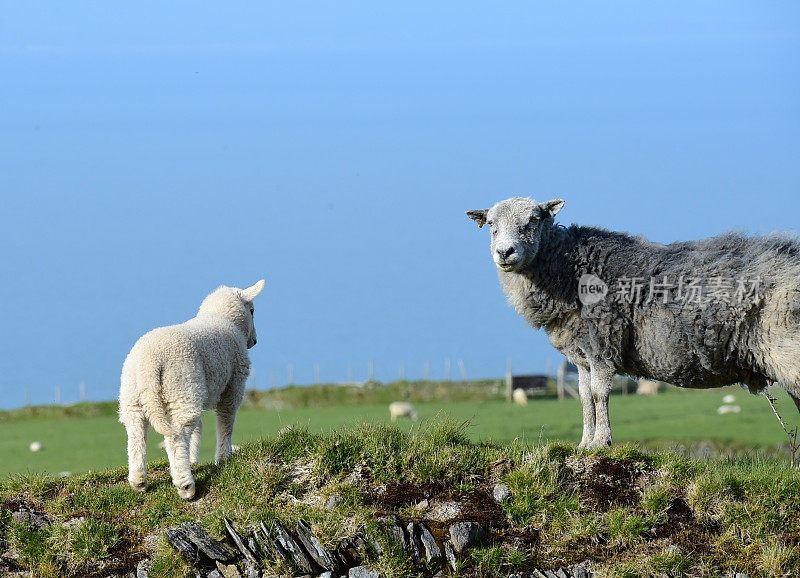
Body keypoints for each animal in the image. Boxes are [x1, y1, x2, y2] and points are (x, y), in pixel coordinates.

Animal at [118, 278, 266, 496]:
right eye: (253, 310)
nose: (255, 341)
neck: (221, 319)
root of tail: (150, 363)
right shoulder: (234, 384)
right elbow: (226, 420)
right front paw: (223, 458)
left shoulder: (201, 392)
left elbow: (198, 428)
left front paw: (194, 459)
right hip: (182, 385)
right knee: (175, 437)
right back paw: (185, 485)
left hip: (134, 395)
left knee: (136, 435)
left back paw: (139, 482)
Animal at [468, 197, 800, 446]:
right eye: (491, 225)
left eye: (534, 219)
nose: (505, 252)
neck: (568, 269)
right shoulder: (582, 355)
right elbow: (585, 398)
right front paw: (584, 444)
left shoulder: (602, 343)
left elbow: (600, 394)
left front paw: (601, 442)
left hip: (787, 349)